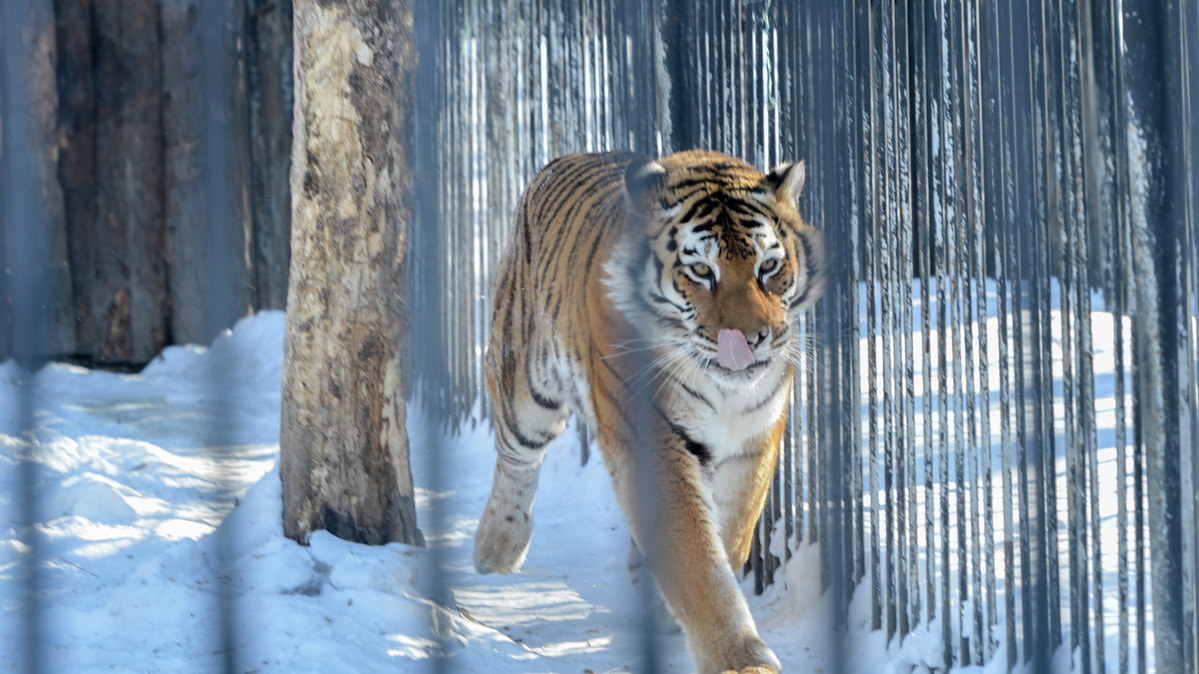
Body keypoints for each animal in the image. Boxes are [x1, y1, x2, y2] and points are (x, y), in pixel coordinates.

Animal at [472, 149, 829, 666]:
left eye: (768, 266)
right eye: (701, 272)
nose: (753, 340)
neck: (724, 391)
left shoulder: (754, 437)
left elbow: (730, 534)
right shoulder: (651, 436)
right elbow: (696, 559)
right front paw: (740, 661)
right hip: (523, 382)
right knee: (516, 460)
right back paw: (497, 547)